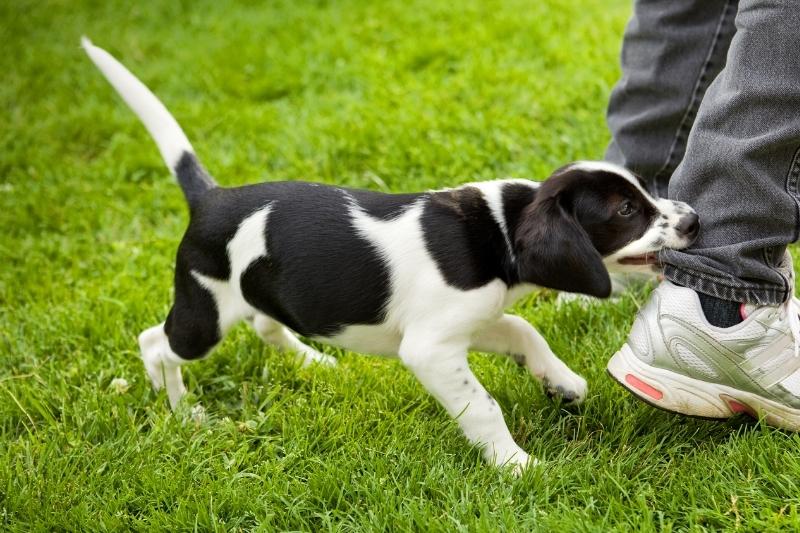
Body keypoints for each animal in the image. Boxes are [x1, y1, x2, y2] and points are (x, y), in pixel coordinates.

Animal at [84, 38, 700, 470]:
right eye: (627, 211)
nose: (694, 220)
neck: (499, 230)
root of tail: (210, 198)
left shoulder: (469, 321)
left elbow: (525, 331)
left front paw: (562, 383)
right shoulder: (430, 348)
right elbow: (483, 406)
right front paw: (517, 465)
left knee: (264, 323)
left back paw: (313, 361)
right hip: (204, 314)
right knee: (156, 343)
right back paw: (183, 412)